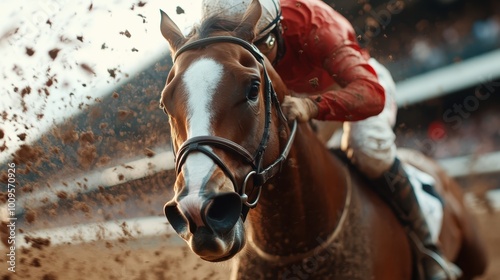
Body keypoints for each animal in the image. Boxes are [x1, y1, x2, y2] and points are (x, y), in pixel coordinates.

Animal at [159, 1, 488, 278]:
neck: (296, 248)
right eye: (164, 103)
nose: (197, 209)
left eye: (253, 88)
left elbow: (368, 88)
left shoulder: (323, 31)